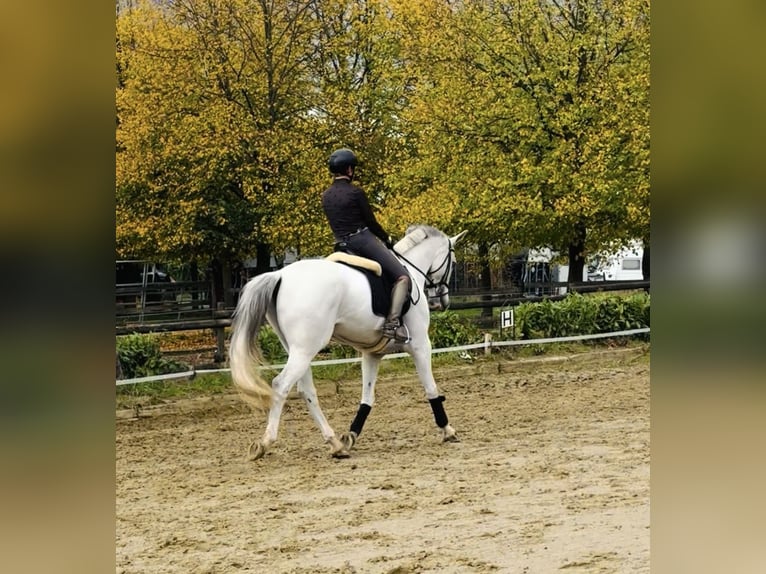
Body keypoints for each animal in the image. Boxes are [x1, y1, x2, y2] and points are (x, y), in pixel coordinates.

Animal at [229, 224, 468, 459]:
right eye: (454, 262)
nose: (441, 302)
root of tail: (280, 274)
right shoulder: (420, 345)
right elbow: (431, 388)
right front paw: (448, 430)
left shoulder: (372, 354)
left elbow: (367, 397)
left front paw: (351, 436)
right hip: (306, 349)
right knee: (281, 385)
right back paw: (265, 443)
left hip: (298, 350)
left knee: (306, 390)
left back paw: (335, 444)